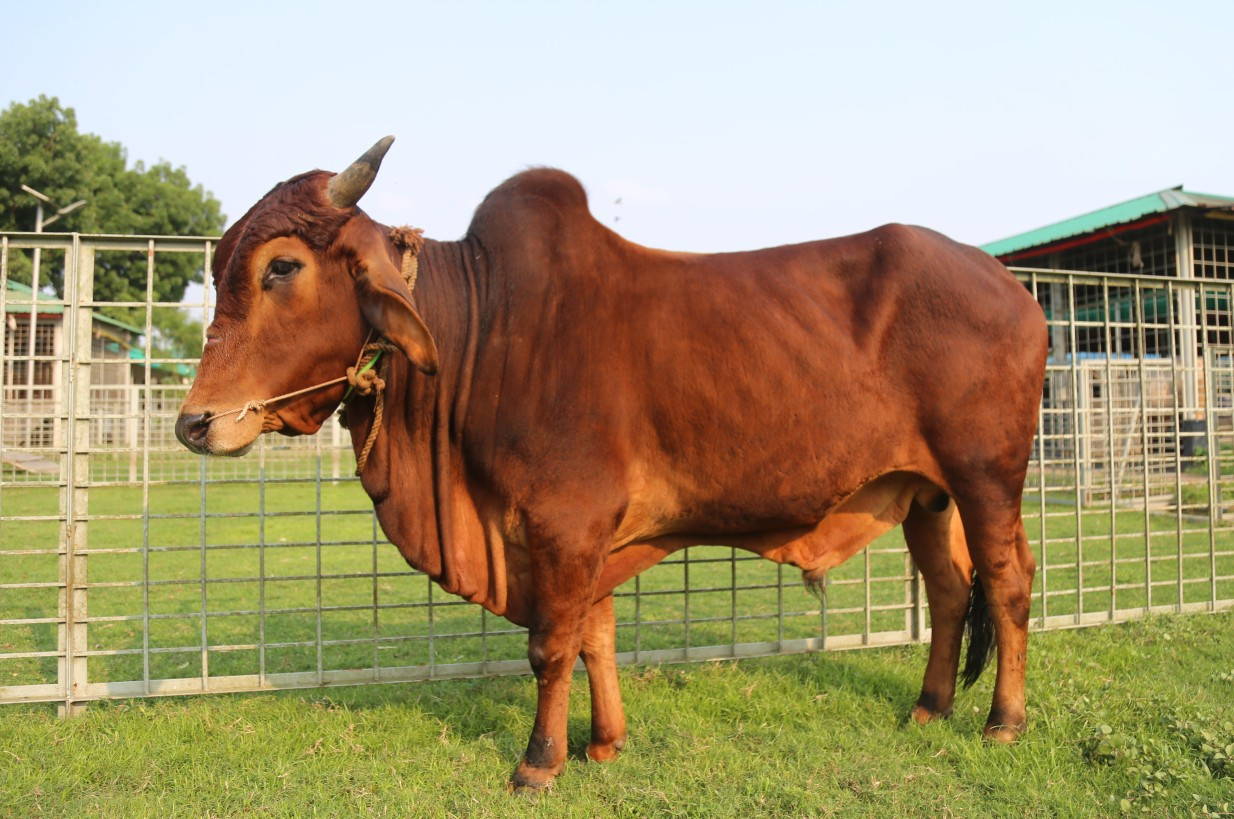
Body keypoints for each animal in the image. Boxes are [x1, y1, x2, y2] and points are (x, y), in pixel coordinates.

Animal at [176, 137, 1048, 791]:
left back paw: (1003, 722)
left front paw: (537, 762)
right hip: (927, 495)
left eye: (281, 267)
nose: (195, 423)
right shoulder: (579, 533)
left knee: (1007, 584)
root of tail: (1013, 285)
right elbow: (594, 632)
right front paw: (603, 743)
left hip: (986, 476)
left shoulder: (564, 520)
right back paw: (930, 706)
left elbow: (551, 643)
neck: (481, 327)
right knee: (949, 589)